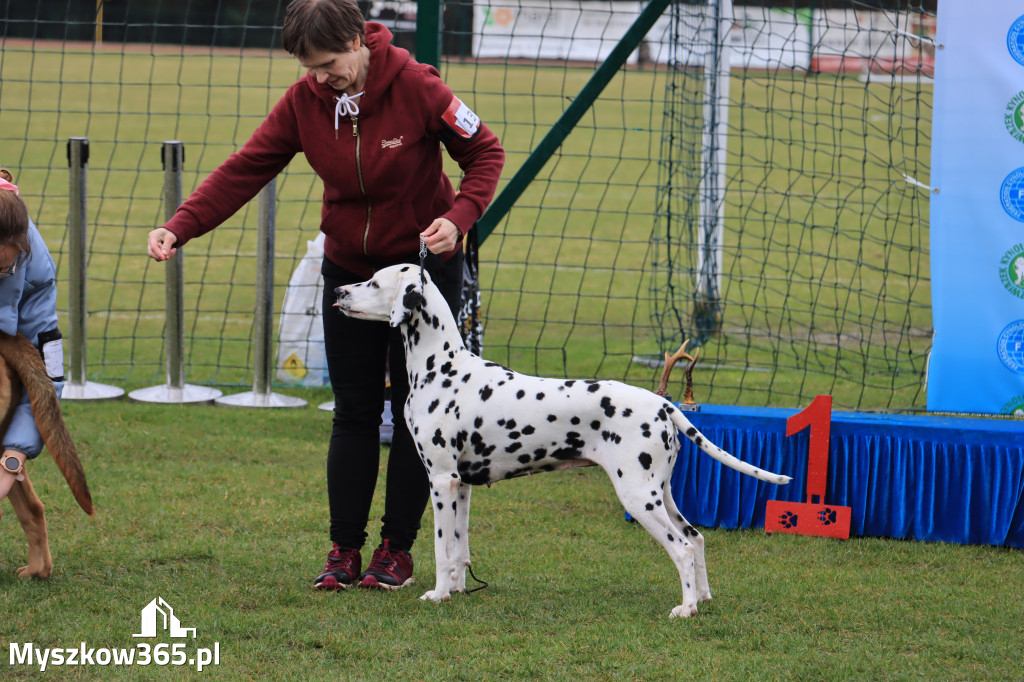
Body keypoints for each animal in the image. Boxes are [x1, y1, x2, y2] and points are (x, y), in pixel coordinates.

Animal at [335, 264, 790, 614]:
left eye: (374, 282)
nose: (338, 291)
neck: (442, 367)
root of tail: (663, 404)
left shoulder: (442, 481)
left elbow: (442, 547)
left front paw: (439, 594)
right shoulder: (462, 485)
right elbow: (460, 549)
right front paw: (459, 589)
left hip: (638, 497)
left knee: (681, 547)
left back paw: (687, 608)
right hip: (660, 493)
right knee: (696, 538)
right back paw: (704, 598)